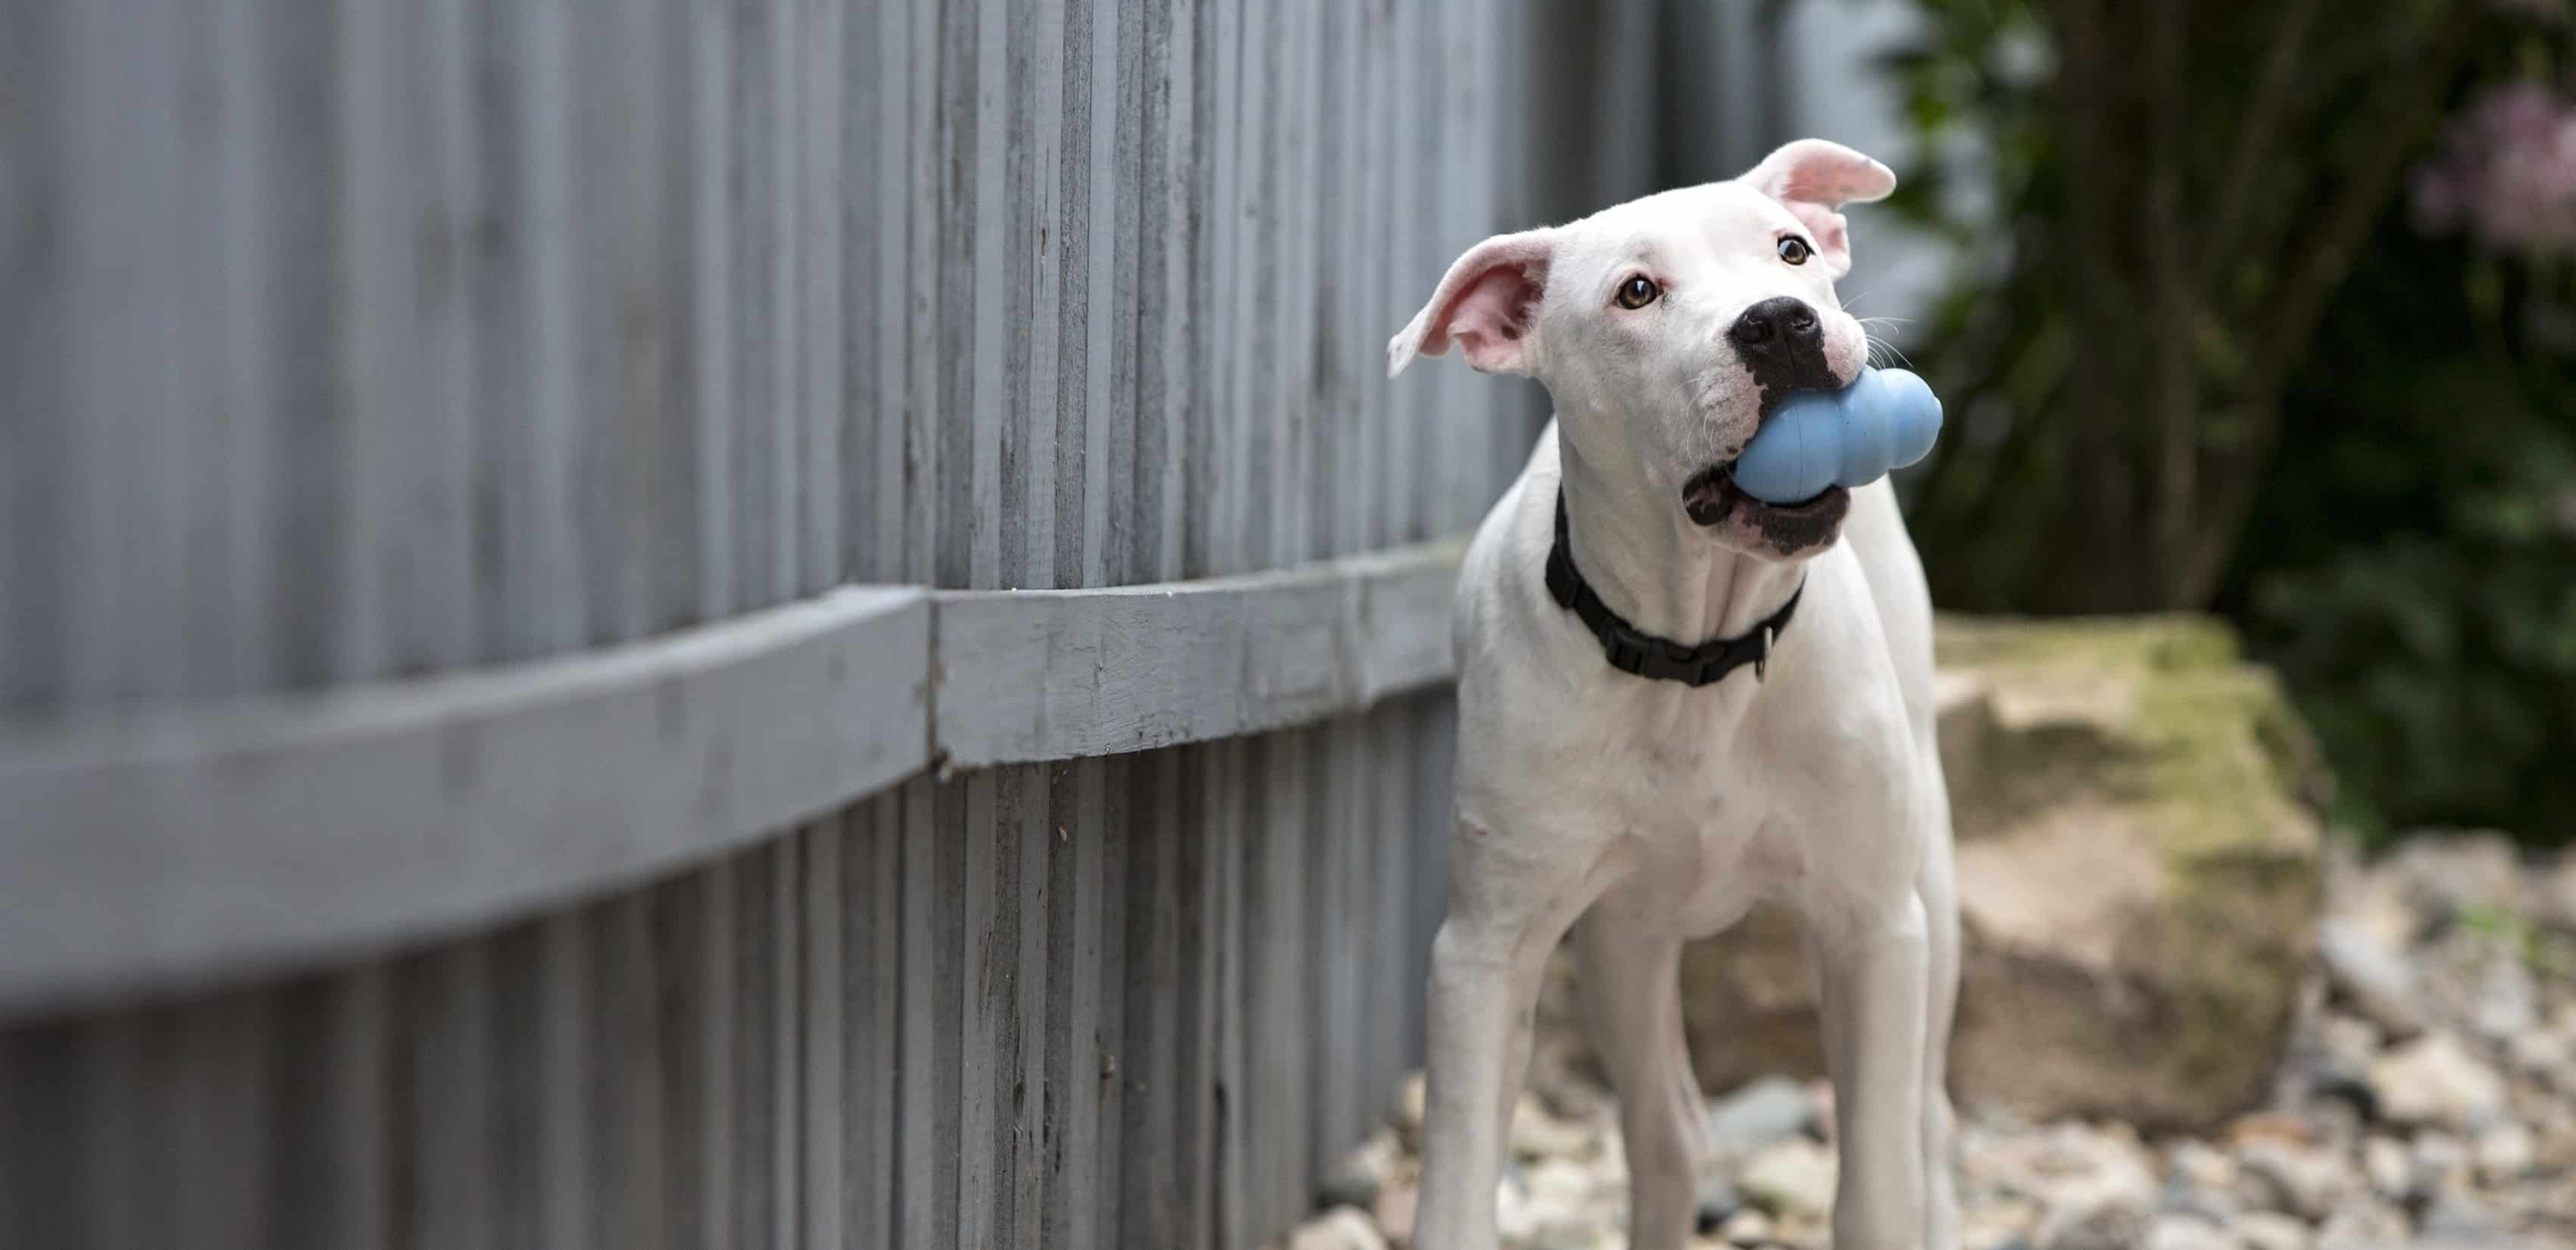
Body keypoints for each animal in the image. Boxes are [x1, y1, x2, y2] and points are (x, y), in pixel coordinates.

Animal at [1391, 139, 1947, 1247]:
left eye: (1789, 250)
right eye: (1636, 292)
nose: (1779, 321)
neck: (1697, 660)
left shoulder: (1874, 925)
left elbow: (1875, 1187)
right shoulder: (1485, 952)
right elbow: (1460, 1187)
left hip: (1932, 883)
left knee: (1928, 1118)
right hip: (1620, 940)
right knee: (1667, 1133)